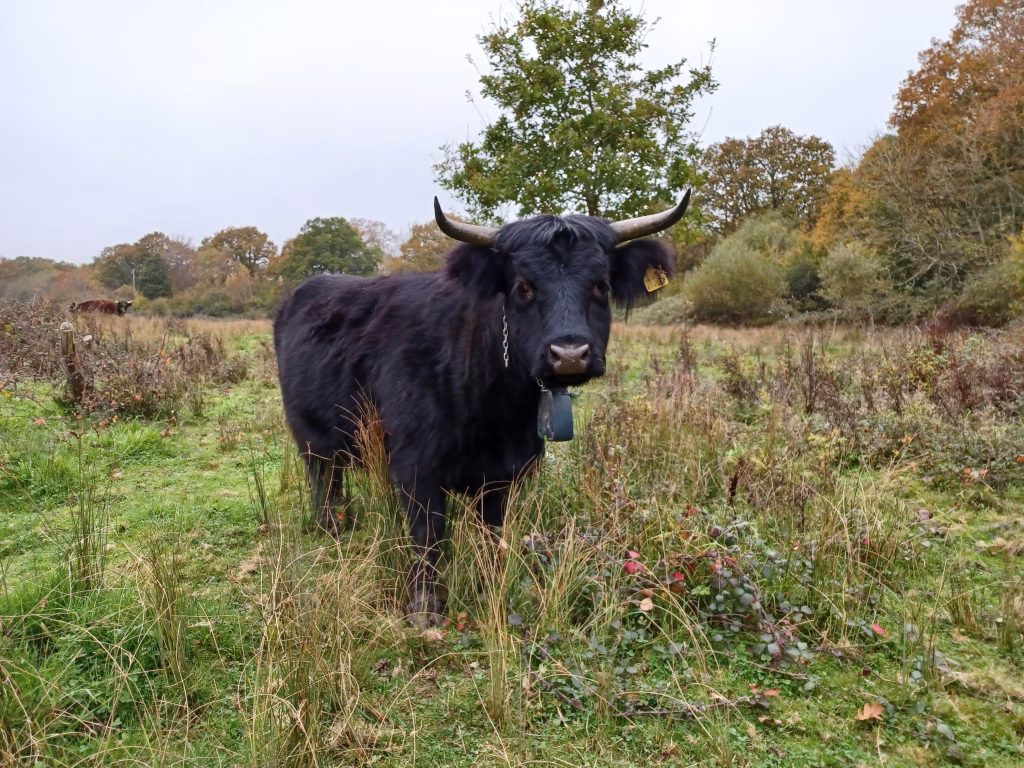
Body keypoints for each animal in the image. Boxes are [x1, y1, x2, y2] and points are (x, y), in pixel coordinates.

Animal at [273, 192, 690, 625]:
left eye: (601, 285)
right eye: (523, 286)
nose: (570, 354)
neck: (494, 410)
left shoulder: (504, 473)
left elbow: (492, 535)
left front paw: (492, 588)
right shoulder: (415, 466)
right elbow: (427, 536)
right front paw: (424, 609)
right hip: (309, 436)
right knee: (322, 479)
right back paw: (331, 527)